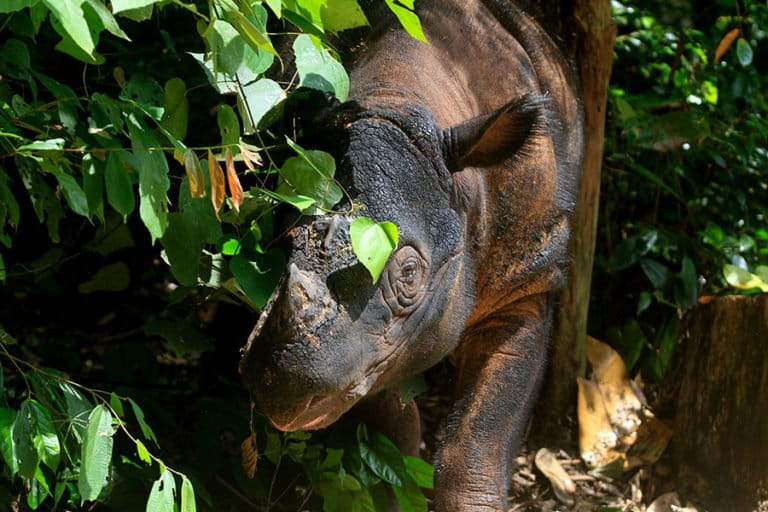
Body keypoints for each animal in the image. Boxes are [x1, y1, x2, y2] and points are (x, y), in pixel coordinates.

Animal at [239, 0, 584, 508]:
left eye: (408, 276)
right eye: (279, 245)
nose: (282, 386)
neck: (399, 98)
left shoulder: (528, 280)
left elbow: (478, 440)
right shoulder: (370, 352)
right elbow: (386, 412)